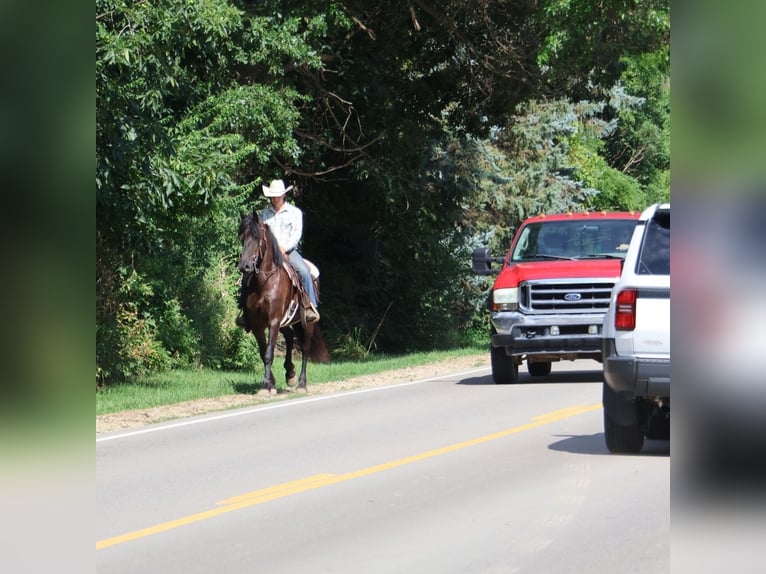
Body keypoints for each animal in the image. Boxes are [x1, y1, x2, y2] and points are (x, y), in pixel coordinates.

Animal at [237, 210, 330, 395]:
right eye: (242, 238)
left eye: (258, 239)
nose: (245, 267)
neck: (265, 282)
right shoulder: (258, 323)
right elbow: (263, 352)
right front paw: (271, 383)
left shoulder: (273, 321)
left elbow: (268, 354)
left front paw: (266, 386)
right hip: (285, 321)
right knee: (288, 336)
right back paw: (290, 373)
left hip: (306, 323)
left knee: (305, 348)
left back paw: (301, 384)